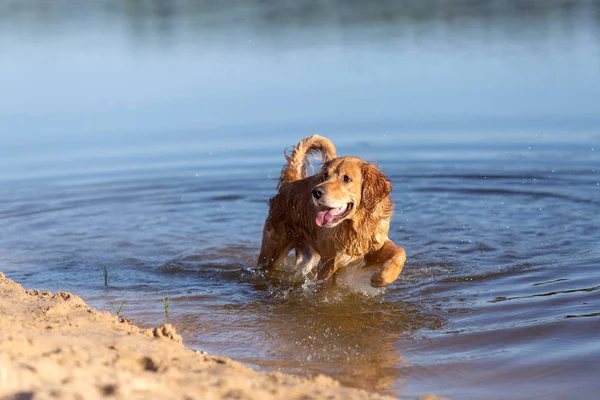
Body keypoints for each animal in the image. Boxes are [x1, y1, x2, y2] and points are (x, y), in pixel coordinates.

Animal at [258, 135, 408, 288]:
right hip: (272, 249)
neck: (354, 226)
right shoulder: (328, 263)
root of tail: (290, 183)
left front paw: (380, 278)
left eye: (346, 178)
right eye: (325, 175)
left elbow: (401, 252)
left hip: (307, 256)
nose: (316, 192)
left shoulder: (375, 242)